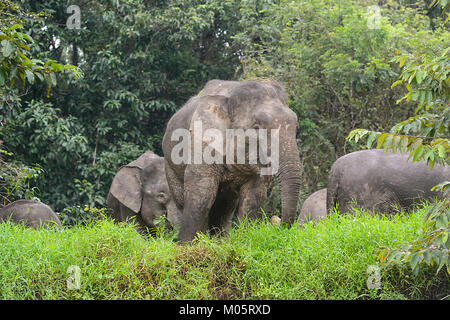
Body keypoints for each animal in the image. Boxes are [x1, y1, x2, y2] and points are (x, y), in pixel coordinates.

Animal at [162, 80, 302, 242]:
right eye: (256, 127)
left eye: (296, 125)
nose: (275, 220)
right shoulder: (202, 143)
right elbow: (202, 190)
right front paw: (187, 244)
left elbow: (253, 196)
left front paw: (248, 238)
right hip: (169, 165)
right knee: (183, 200)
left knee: (224, 207)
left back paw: (220, 240)